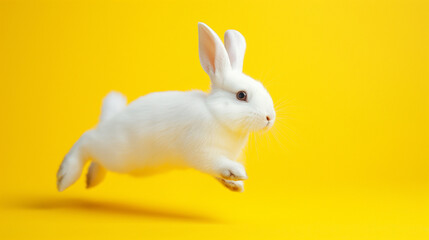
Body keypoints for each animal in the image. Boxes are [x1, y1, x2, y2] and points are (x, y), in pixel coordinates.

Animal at [56, 22, 274, 191]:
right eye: (241, 95)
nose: (270, 118)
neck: (216, 114)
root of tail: (109, 121)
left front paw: (236, 185)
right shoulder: (202, 152)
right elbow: (216, 164)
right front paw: (237, 173)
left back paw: (92, 179)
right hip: (117, 153)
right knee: (86, 140)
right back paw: (65, 177)